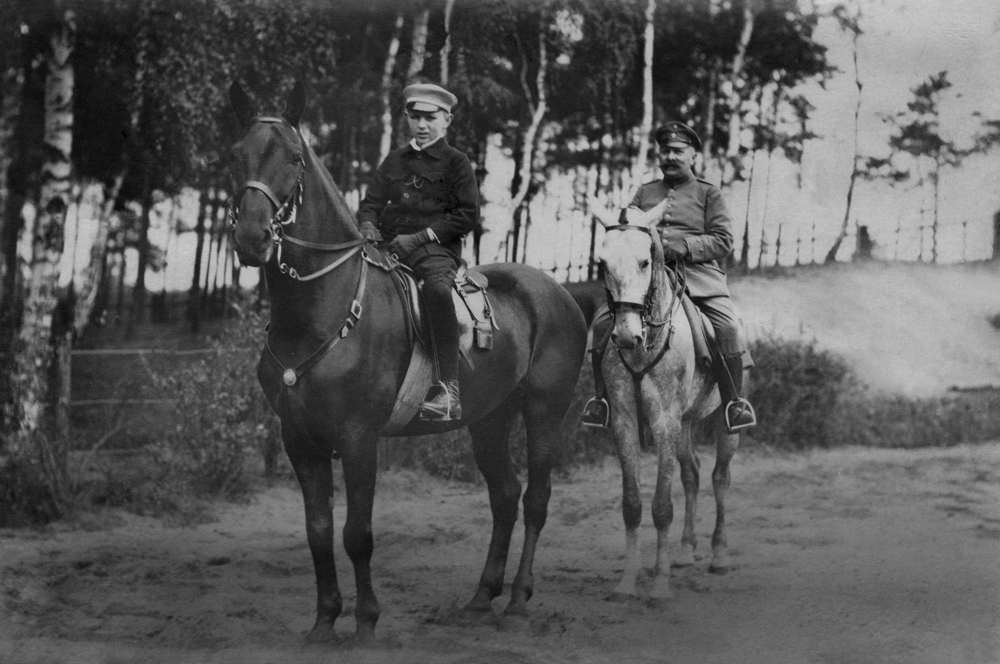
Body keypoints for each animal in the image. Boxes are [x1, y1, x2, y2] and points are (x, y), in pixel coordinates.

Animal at [227, 80, 584, 640]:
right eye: (236, 154)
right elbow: (317, 530)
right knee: (505, 496)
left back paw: (517, 600)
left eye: (293, 158)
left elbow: (357, 533)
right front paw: (324, 621)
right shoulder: (299, 440)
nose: (252, 238)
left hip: (544, 412)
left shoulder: (358, 440)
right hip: (490, 418)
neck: (323, 307)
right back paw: (481, 597)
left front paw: (366, 622)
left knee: (536, 500)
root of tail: (558, 292)